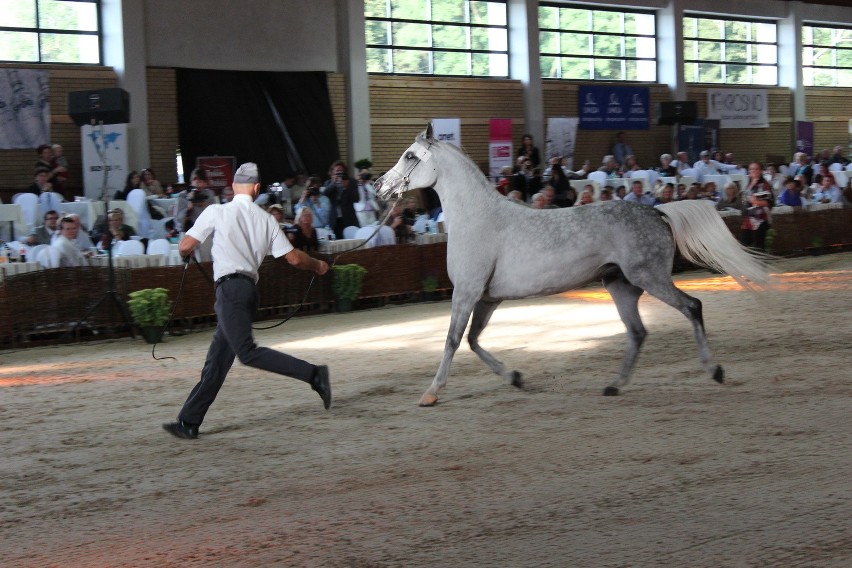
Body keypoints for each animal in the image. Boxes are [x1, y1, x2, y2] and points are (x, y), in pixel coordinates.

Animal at [374, 126, 772, 406]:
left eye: (409, 156)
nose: (379, 186)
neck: (478, 219)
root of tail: (657, 211)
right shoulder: (487, 298)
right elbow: (473, 340)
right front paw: (516, 378)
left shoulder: (467, 292)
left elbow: (453, 340)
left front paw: (431, 393)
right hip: (620, 285)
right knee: (637, 332)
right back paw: (614, 386)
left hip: (650, 277)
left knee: (692, 307)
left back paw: (714, 370)